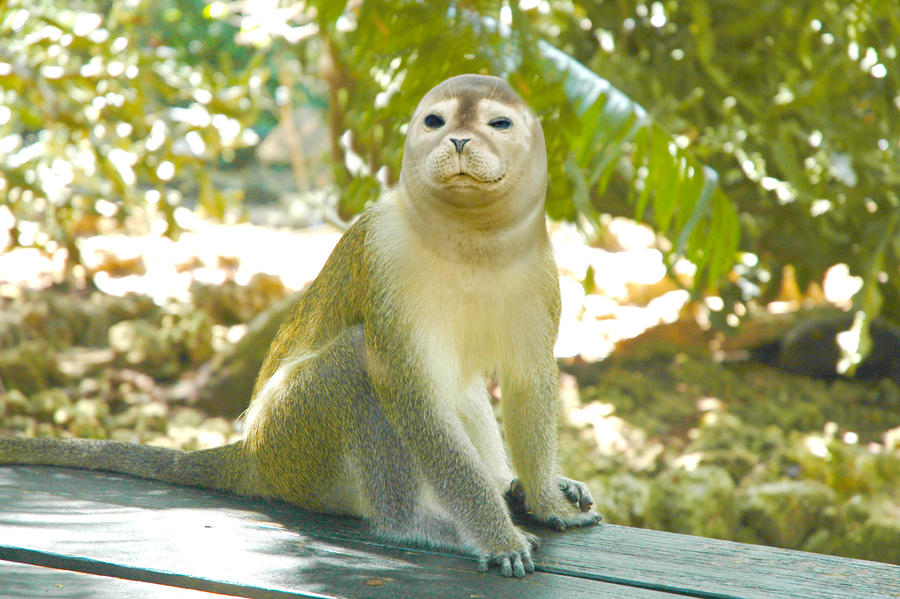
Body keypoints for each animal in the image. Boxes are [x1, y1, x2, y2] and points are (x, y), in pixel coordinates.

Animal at [0, 74, 601, 578]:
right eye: (437, 121)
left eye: (497, 124)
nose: (455, 142)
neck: (469, 238)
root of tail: (250, 454)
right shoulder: (385, 257)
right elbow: (409, 392)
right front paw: (497, 535)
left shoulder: (539, 265)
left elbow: (528, 379)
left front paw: (544, 502)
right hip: (293, 445)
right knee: (359, 363)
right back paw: (412, 524)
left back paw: (507, 486)